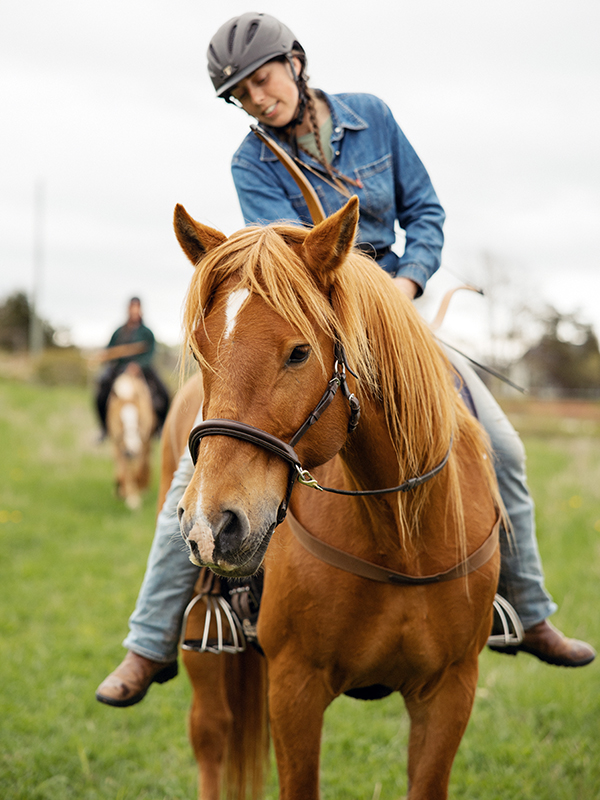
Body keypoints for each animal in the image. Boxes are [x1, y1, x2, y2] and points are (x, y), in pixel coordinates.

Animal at [106, 362, 156, 510]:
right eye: (119, 421)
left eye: (139, 420)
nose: (131, 449)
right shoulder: (118, 444)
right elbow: (124, 470)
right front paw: (130, 496)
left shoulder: (142, 443)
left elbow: (137, 468)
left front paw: (136, 492)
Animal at [167, 196, 503, 800]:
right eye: (200, 353)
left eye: (300, 352)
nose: (211, 526)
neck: (400, 537)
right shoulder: (295, 688)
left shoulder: (451, 689)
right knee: (210, 732)